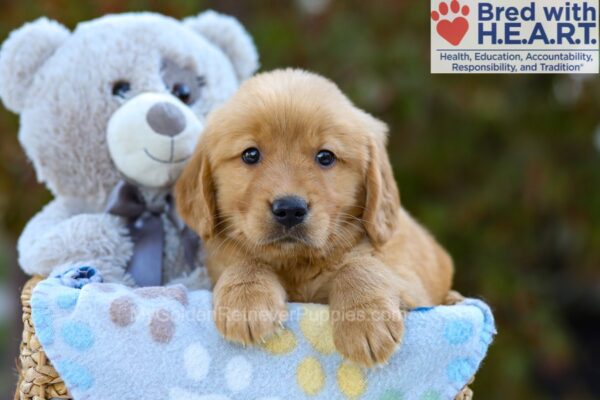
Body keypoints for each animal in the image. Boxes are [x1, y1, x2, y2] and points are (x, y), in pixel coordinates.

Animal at [176, 69, 452, 366]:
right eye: (250, 154)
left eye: (325, 157)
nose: (289, 209)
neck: (298, 264)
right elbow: (244, 258)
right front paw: (246, 300)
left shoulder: (410, 281)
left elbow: (361, 264)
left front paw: (365, 319)